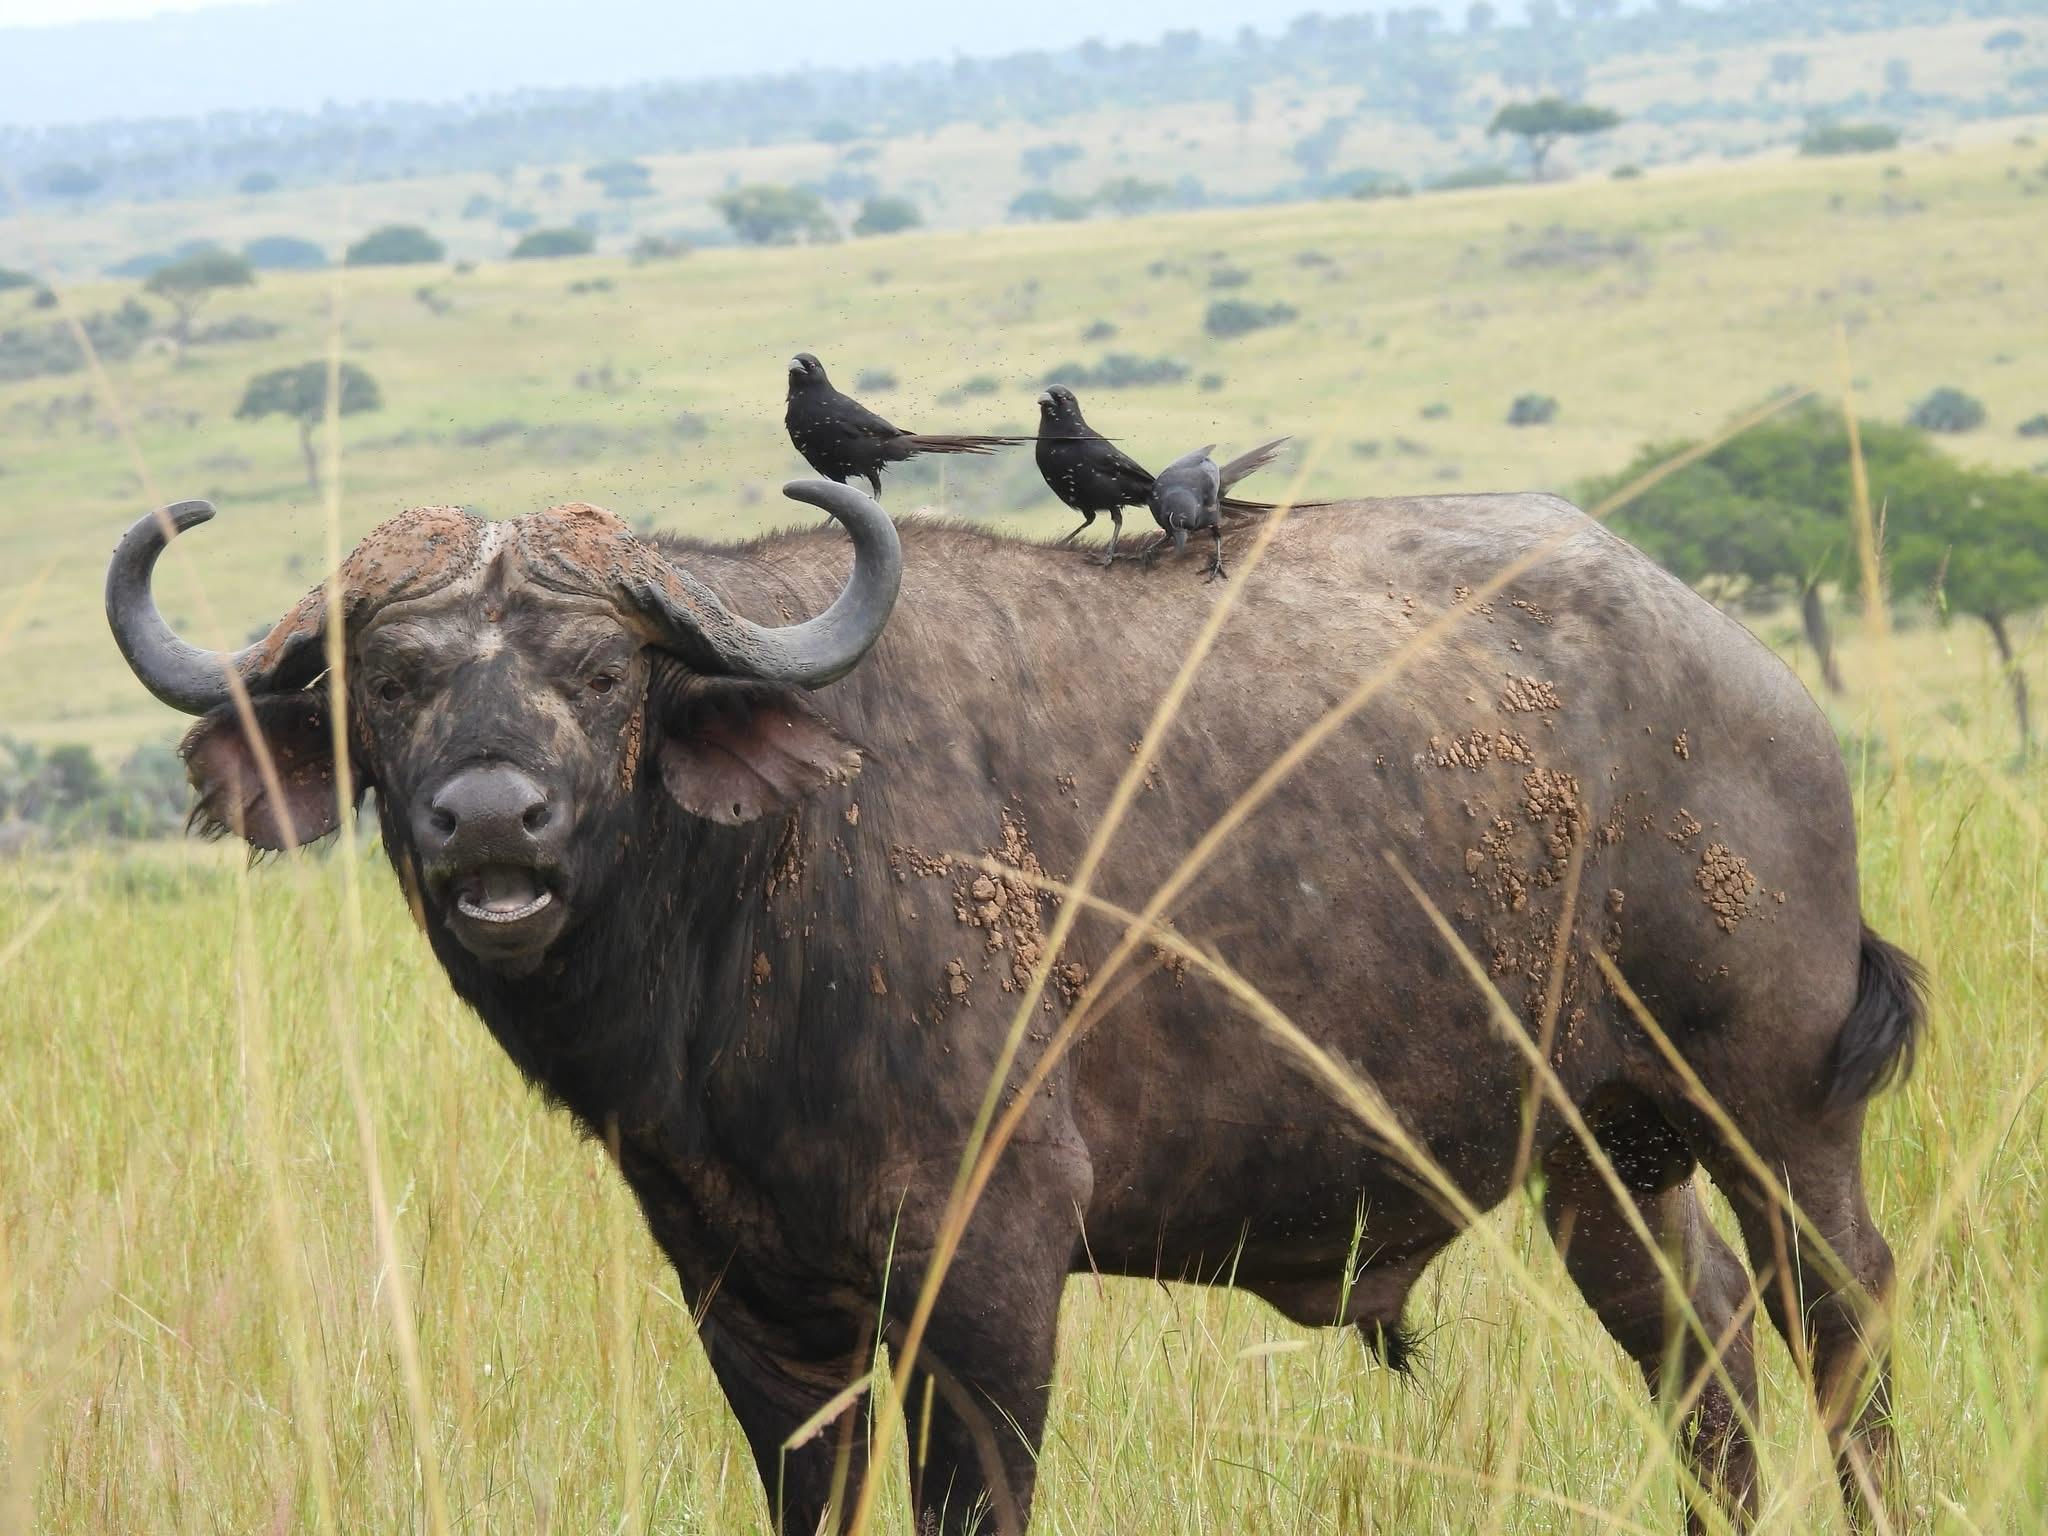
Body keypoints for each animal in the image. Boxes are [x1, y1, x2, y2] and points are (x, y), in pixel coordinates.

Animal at [107, 481, 1922, 1533]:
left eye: (601, 674)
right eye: (395, 684)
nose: (491, 823)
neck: (751, 900)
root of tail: (1738, 668)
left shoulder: (987, 1277)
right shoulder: (749, 1309)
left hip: (1778, 1113)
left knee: (1839, 1321)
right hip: (1603, 1152)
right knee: (1695, 1344)